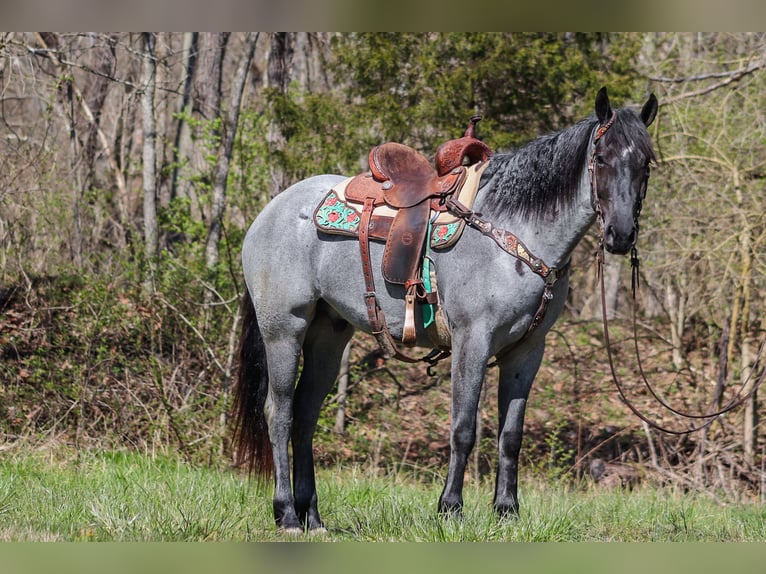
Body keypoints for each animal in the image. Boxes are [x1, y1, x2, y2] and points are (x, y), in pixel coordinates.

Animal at [232, 88, 660, 532]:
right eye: (602, 158)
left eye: (645, 162)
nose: (620, 235)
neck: (514, 231)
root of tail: (269, 212)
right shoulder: (473, 341)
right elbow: (463, 428)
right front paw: (450, 507)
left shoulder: (527, 351)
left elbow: (511, 435)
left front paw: (507, 510)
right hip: (284, 329)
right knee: (279, 413)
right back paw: (286, 513)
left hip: (328, 337)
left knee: (305, 416)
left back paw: (312, 516)